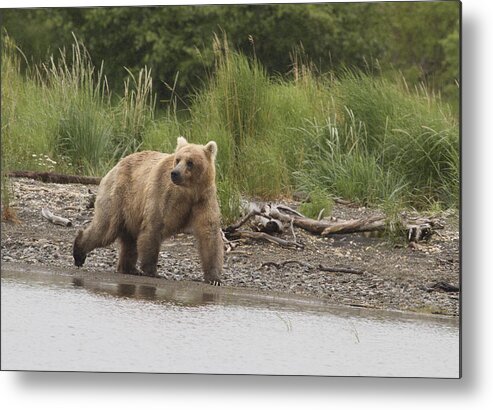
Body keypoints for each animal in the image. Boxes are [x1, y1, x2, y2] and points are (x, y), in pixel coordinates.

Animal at [72, 137, 223, 286]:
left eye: (190, 162)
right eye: (178, 159)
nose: (175, 173)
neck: (188, 191)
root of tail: (116, 165)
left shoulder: (203, 199)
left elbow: (209, 234)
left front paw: (214, 278)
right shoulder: (164, 193)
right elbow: (155, 225)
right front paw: (152, 271)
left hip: (131, 210)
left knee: (130, 240)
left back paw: (129, 268)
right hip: (119, 196)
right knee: (105, 229)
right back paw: (79, 253)